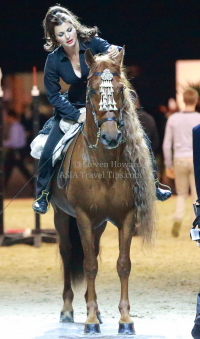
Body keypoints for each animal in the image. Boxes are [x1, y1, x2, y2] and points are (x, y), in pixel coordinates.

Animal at [50, 47, 155, 334]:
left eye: (120, 89)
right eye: (93, 90)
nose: (110, 136)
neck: (104, 163)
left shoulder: (126, 217)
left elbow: (122, 264)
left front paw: (125, 320)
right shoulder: (84, 216)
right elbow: (88, 265)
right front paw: (90, 321)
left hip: (99, 223)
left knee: (94, 250)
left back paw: (94, 309)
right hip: (62, 215)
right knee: (67, 252)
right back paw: (67, 310)